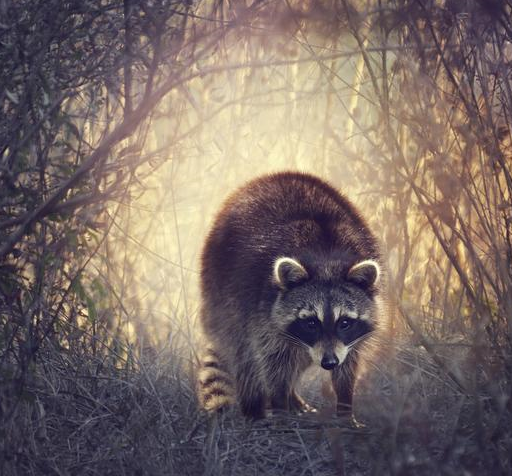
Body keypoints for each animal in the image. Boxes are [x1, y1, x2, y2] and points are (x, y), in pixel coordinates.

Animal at [198, 171, 386, 420]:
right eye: (311, 322)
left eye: (345, 322)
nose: (329, 362)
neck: (325, 259)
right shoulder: (261, 307)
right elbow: (272, 360)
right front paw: (279, 402)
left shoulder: (349, 338)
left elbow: (349, 361)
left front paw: (345, 405)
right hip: (221, 290)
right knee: (245, 354)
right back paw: (255, 408)